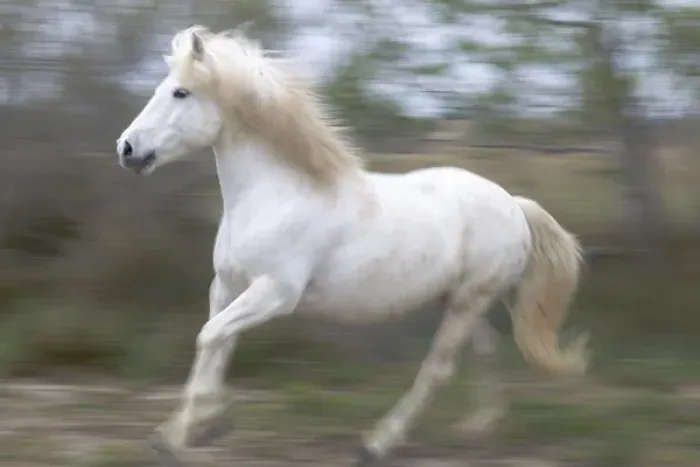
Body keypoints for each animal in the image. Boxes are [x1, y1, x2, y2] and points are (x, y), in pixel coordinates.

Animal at [116, 24, 589, 466]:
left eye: (180, 92)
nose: (127, 149)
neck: (276, 195)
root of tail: (513, 204)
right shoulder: (227, 286)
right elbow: (214, 346)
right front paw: (185, 431)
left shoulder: (274, 293)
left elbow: (210, 338)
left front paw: (199, 427)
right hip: (460, 299)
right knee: (485, 352)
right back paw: (479, 426)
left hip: (469, 300)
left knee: (438, 369)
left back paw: (377, 443)